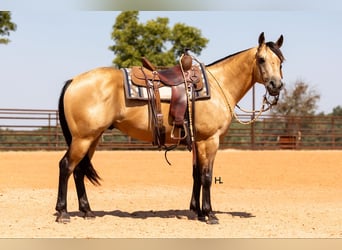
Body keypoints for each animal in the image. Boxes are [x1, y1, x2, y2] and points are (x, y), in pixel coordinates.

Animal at [54, 32, 284, 224]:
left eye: (281, 61)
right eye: (262, 59)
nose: (276, 85)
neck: (219, 87)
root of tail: (74, 81)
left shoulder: (197, 142)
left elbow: (196, 175)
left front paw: (197, 211)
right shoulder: (210, 140)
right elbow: (207, 176)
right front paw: (209, 214)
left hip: (92, 138)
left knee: (79, 170)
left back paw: (87, 211)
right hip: (83, 138)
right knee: (66, 166)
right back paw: (63, 212)